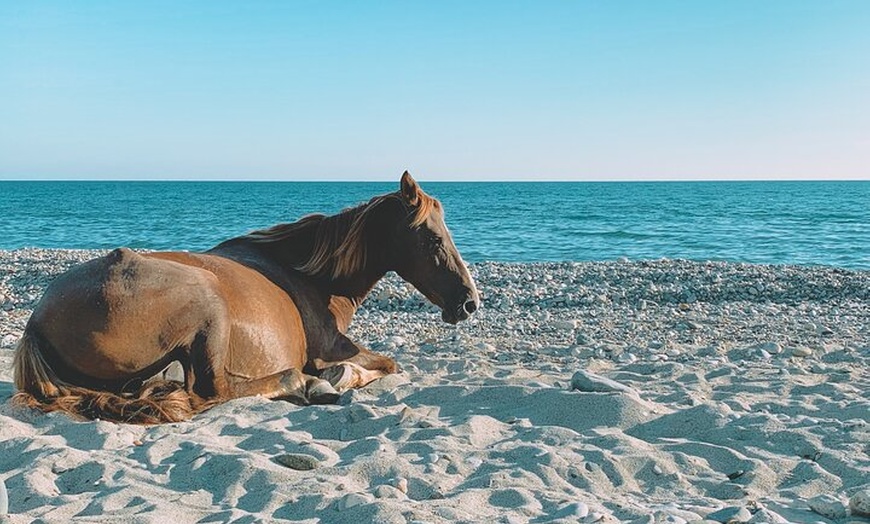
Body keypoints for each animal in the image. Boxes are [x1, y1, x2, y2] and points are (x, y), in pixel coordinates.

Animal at [13, 172, 479, 424]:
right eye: (433, 238)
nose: (470, 302)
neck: (310, 277)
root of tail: (36, 321)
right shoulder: (332, 348)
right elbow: (385, 364)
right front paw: (337, 377)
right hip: (208, 304)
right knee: (213, 390)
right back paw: (308, 385)